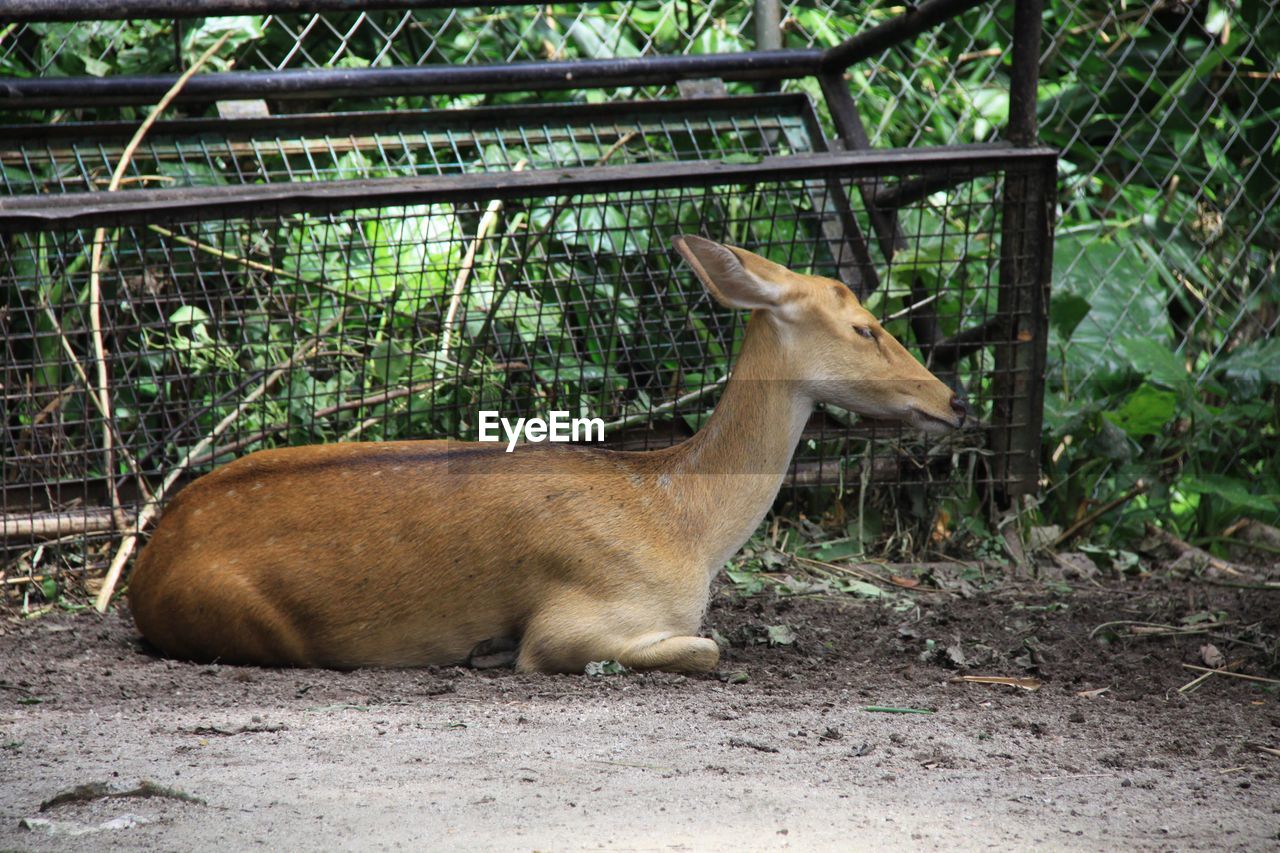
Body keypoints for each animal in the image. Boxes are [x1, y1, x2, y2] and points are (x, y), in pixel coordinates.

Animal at [132, 234, 967, 671]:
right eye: (864, 327)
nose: (953, 398)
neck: (684, 522)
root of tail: (143, 566)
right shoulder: (578, 613)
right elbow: (706, 645)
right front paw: (491, 652)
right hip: (252, 623)